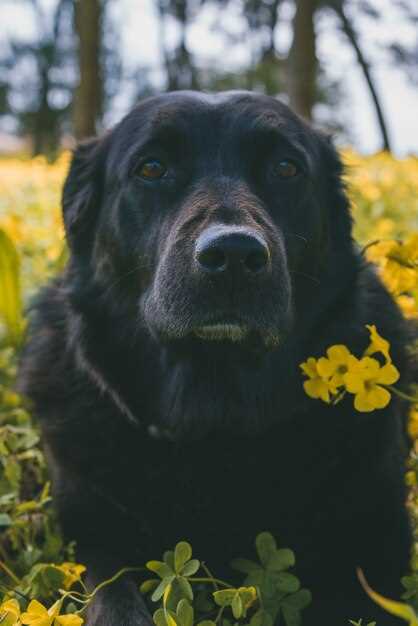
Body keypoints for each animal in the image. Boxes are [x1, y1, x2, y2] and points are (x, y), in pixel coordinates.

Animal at [19, 90, 412, 620]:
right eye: (152, 167)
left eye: (286, 168)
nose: (233, 256)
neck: (214, 408)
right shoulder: (96, 535)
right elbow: (113, 598)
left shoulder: (375, 544)